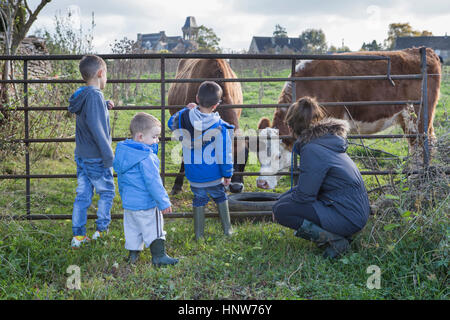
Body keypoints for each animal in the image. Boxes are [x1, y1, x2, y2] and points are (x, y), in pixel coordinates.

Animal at [255, 48, 442, 190]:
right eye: (258, 154)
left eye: (278, 156)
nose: (261, 183)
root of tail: (422, 50)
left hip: (417, 116)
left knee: (421, 144)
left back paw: (416, 180)